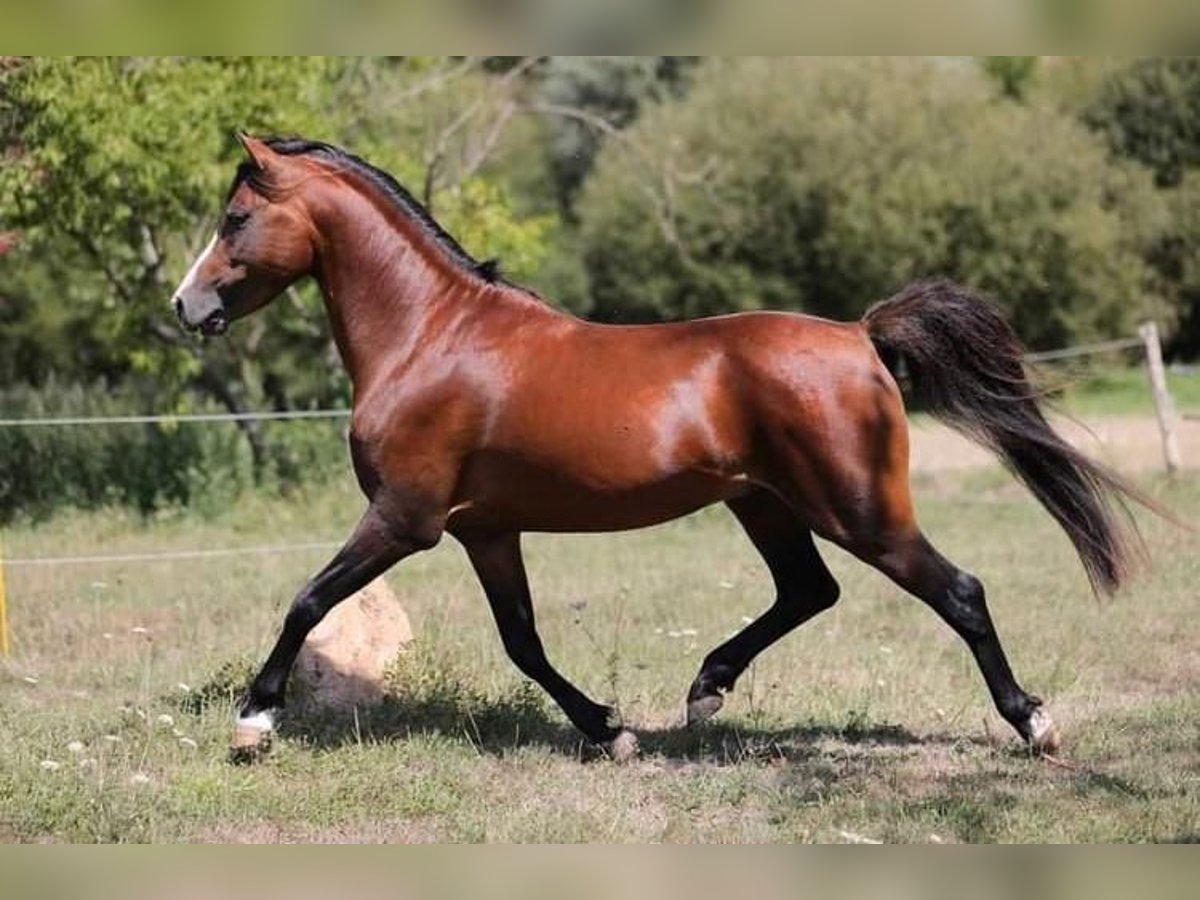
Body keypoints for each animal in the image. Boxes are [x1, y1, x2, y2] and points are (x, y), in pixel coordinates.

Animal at [171, 137, 1142, 763]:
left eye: (235, 217)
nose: (186, 307)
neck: (431, 337)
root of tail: (858, 336)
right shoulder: (485, 531)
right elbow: (522, 641)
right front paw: (610, 730)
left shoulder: (404, 519)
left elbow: (306, 600)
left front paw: (254, 723)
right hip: (764, 502)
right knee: (808, 591)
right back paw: (706, 688)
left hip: (858, 508)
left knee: (958, 592)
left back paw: (1034, 726)